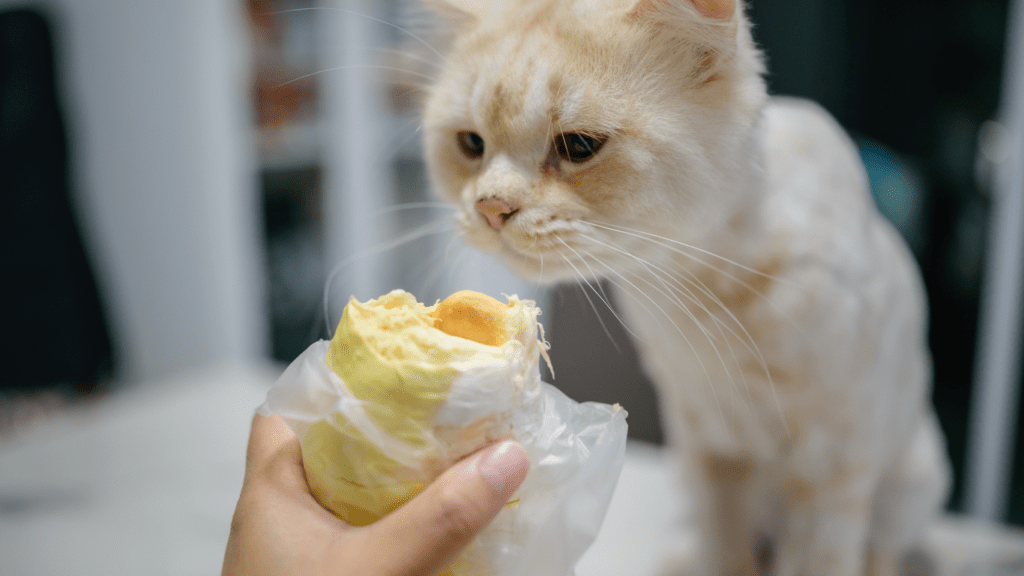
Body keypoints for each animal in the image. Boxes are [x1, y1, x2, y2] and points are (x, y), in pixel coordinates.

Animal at [409, 1, 950, 573]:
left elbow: (822, 559)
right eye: (471, 144)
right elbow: (726, 554)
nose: (490, 208)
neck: (704, 295)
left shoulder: (832, 473)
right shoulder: (712, 453)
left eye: (577, 146)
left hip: (907, 485)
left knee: (881, 551)